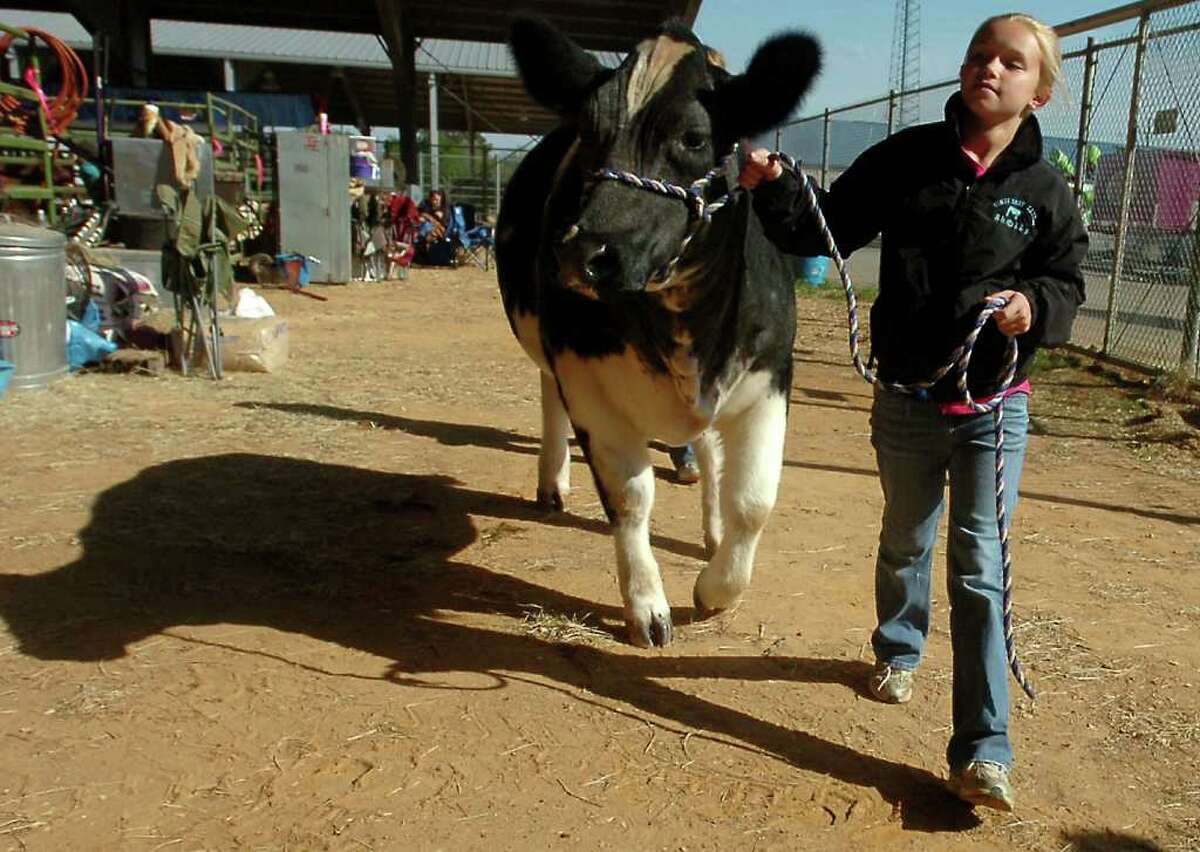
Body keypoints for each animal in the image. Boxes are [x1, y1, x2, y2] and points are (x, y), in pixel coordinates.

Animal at [492, 18, 820, 648]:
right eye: (588, 131)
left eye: (694, 138)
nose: (586, 253)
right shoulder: (585, 381)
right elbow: (630, 497)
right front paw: (647, 606)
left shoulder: (771, 374)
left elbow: (753, 500)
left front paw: (716, 590)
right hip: (548, 352)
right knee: (549, 399)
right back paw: (553, 481)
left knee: (712, 451)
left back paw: (711, 529)